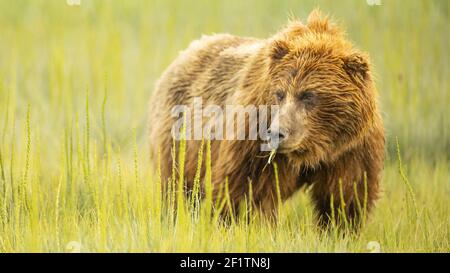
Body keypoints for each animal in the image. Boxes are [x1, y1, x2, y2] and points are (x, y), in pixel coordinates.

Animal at [148, 9, 384, 227]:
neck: (312, 150)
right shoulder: (253, 139)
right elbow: (246, 191)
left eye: (308, 95)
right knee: (178, 188)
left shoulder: (351, 149)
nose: (277, 134)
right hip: (180, 139)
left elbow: (345, 195)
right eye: (279, 93)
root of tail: (186, 52)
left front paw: (338, 228)